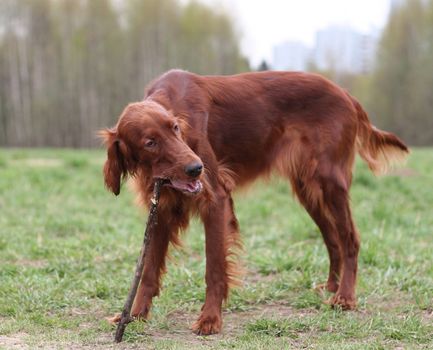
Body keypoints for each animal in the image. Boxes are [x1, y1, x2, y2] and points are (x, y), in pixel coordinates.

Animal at [101, 69, 408, 334]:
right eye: (150, 142)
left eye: (176, 128)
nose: (196, 168)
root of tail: (345, 93)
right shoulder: (162, 209)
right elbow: (148, 271)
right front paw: (134, 315)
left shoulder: (215, 200)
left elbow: (214, 267)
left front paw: (210, 319)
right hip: (309, 191)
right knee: (333, 239)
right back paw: (332, 286)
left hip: (331, 183)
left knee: (349, 239)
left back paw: (344, 297)